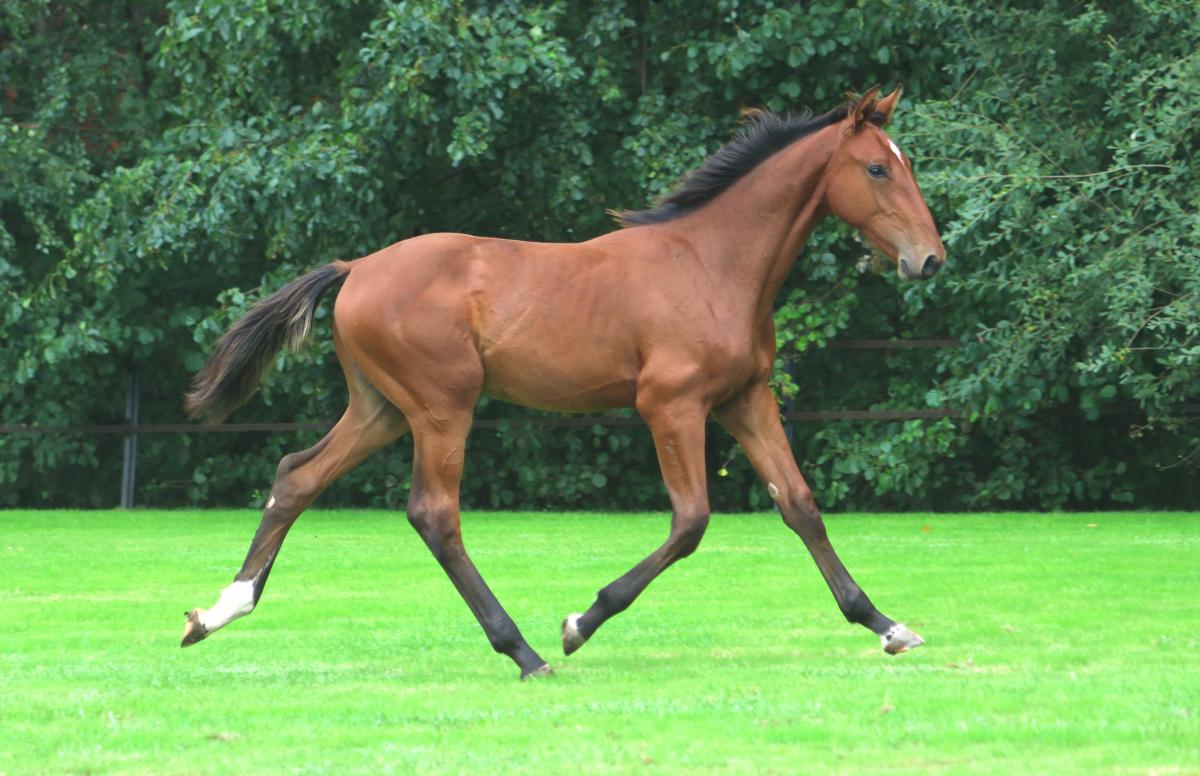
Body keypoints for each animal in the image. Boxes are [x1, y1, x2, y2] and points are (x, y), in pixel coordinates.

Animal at [180, 86, 945, 678]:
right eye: (877, 168)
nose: (930, 260)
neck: (710, 263)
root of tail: (357, 267)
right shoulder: (671, 405)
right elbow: (691, 521)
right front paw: (581, 621)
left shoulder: (743, 399)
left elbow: (800, 505)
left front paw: (886, 625)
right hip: (442, 406)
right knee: (434, 514)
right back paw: (524, 652)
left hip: (382, 410)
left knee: (297, 475)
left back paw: (216, 612)